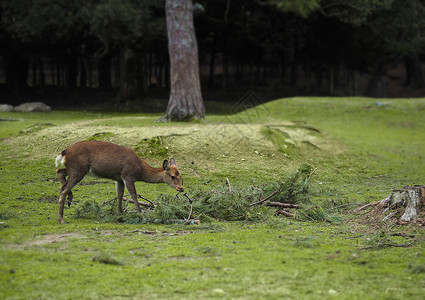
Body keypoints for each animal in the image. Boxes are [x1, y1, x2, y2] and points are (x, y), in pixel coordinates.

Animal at [54, 140, 182, 223]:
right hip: (78, 169)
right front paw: (140, 213)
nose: (181, 188)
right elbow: (133, 195)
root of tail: (64, 152)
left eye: (180, 175)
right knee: (64, 189)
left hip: (75, 169)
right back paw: (62, 219)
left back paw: (69, 200)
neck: (140, 171)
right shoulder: (128, 175)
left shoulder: (119, 178)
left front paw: (120, 213)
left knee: (60, 172)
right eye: (172, 176)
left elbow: (120, 194)